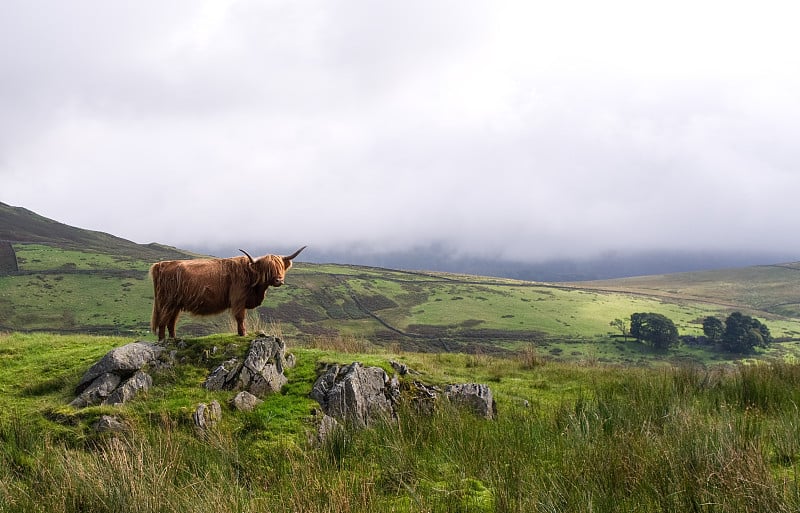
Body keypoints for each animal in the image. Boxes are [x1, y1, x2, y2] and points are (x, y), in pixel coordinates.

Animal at [148, 245, 304, 340]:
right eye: (268, 268)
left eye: (281, 267)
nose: (279, 280)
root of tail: (161, 264)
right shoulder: (238, 299)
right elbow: (240, 317)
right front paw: (243, 334)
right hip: (167, 302)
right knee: (163, 321)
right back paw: (162, 340)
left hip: (176, 304)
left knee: (171, 321)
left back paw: (173, 339)